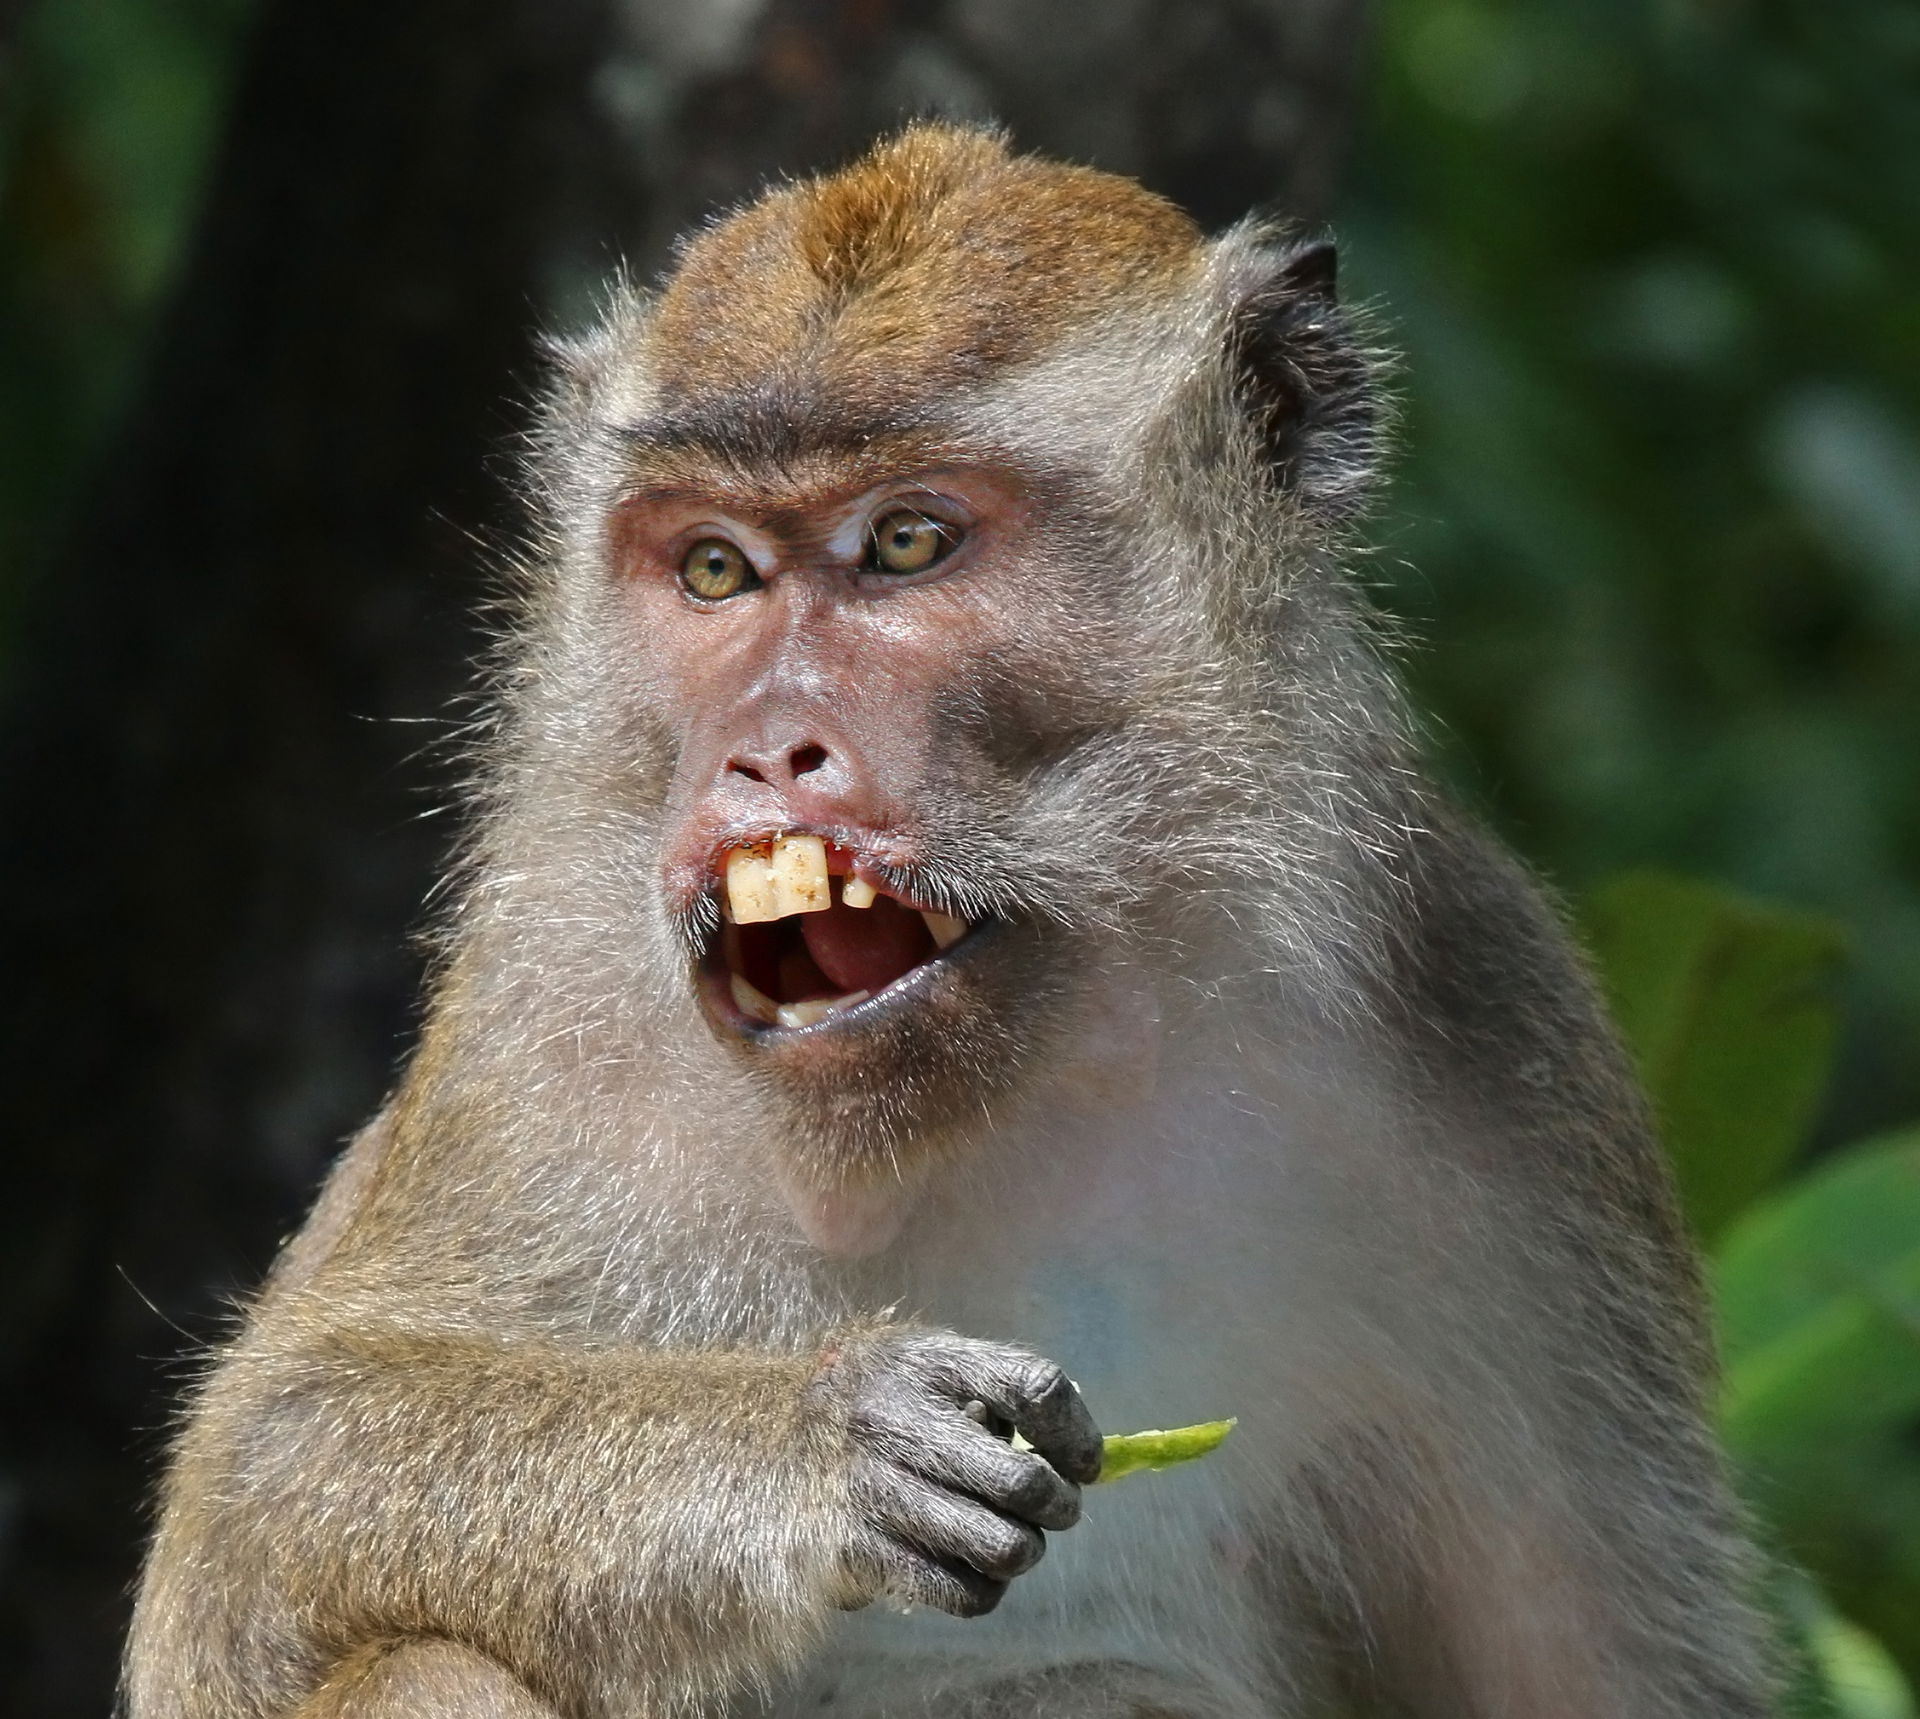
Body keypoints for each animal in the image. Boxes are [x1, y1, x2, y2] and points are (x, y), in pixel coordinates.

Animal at [125, 125, 1774, 1719]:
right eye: (715, 567)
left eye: (907, 542)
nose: (765, 749)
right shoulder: (547, 1007)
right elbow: (258, 1488)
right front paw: (829, 1439)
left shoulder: (1495, 1035)